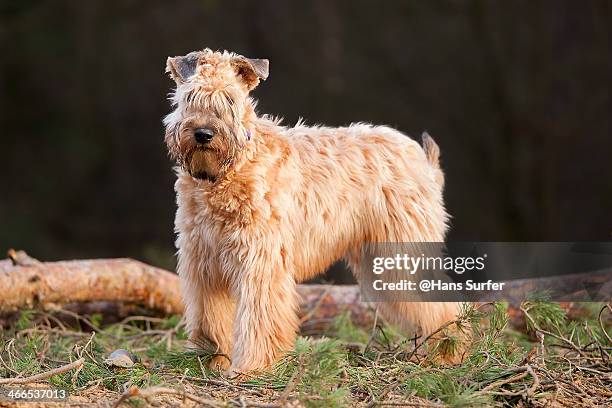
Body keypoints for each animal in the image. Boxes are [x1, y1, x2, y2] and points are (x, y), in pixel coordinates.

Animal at [163, 47, 460, 372]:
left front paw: (250, 367)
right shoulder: (203, 263)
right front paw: (211, 359)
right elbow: (210, 318)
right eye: (190, 97)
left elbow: (258, 318)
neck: (225, 175)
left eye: (229, 99)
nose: (203, 133)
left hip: (403, 251)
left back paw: (449, 351)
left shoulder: (259, 261)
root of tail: (422, 158)